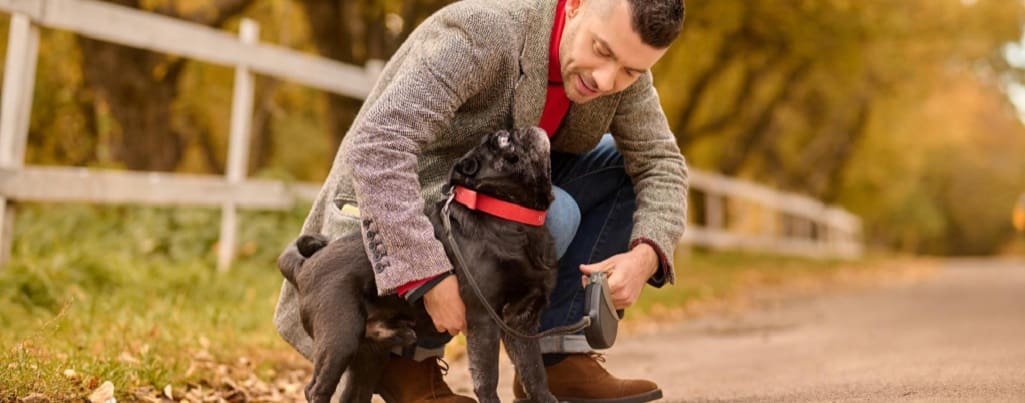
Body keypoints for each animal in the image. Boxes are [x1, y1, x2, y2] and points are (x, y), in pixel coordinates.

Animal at [280, 126, 561, 401]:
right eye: (503, 141)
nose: (520, 130)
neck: (512, 219)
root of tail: (304, 267)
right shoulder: (483, 319)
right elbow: (487, 380)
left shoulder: (521, 322)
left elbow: (534, 374)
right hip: (341, 338)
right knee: (316, 389)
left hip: (370, 354)